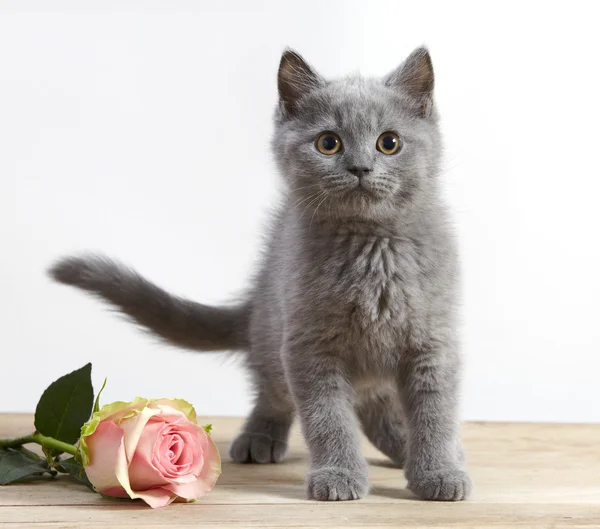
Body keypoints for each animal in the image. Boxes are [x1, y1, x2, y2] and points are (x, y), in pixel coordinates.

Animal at [51, 47, 472, 502]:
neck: (371, 246)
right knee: (275, 394)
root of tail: (255, 301)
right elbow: (328, 417)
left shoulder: (433, 344)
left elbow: (435, 412)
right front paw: (339, 474)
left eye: (389, 142)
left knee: (376, 409)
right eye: (328, 143)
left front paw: (439, 471)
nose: (360, 167)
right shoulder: (308, 346)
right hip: (274, 337)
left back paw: (405, 447)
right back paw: (259, 438)